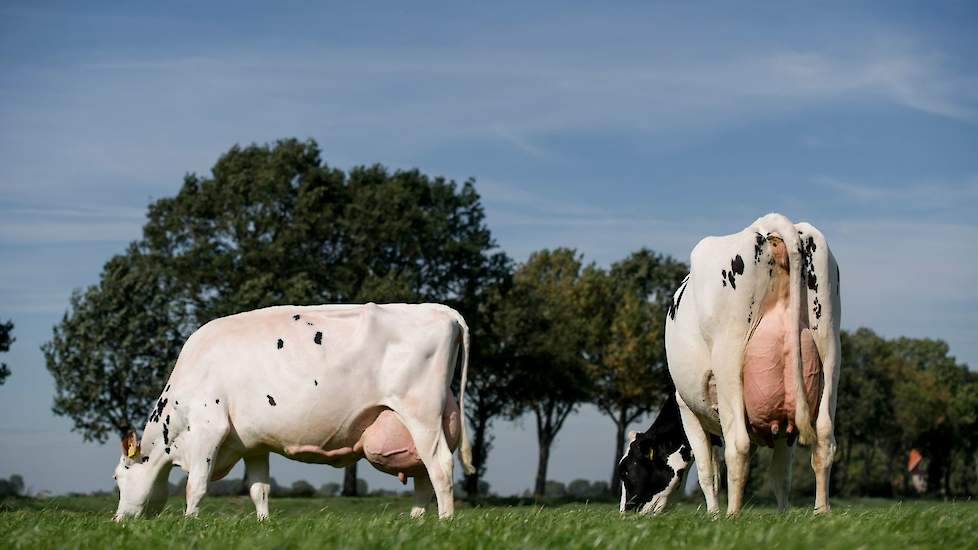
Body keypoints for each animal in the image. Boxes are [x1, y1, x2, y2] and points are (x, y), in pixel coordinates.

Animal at [114, 304, 472, 524]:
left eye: (117, 478)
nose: (117, 521)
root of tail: (439, 309)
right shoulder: (253, 444)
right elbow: (258, 489)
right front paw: (263, 523)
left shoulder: (207, 430)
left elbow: (196, 486)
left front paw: (190, 523)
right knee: (423, 475)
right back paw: (416, 522)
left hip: (421, 414)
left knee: (440, 466)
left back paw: (445, 522)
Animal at [616, 215, 840, 516]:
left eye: (628, 471)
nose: (625, 512)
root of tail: (767, 227)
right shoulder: (783, 426)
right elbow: (780, 475)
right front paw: (783, 516)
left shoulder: (689, 411)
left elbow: (707, 473)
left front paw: (713, 515)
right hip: (829, 348)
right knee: (824, 439)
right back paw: (821, 511)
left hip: (730, 361)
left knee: (738, 446)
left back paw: (732, 515)